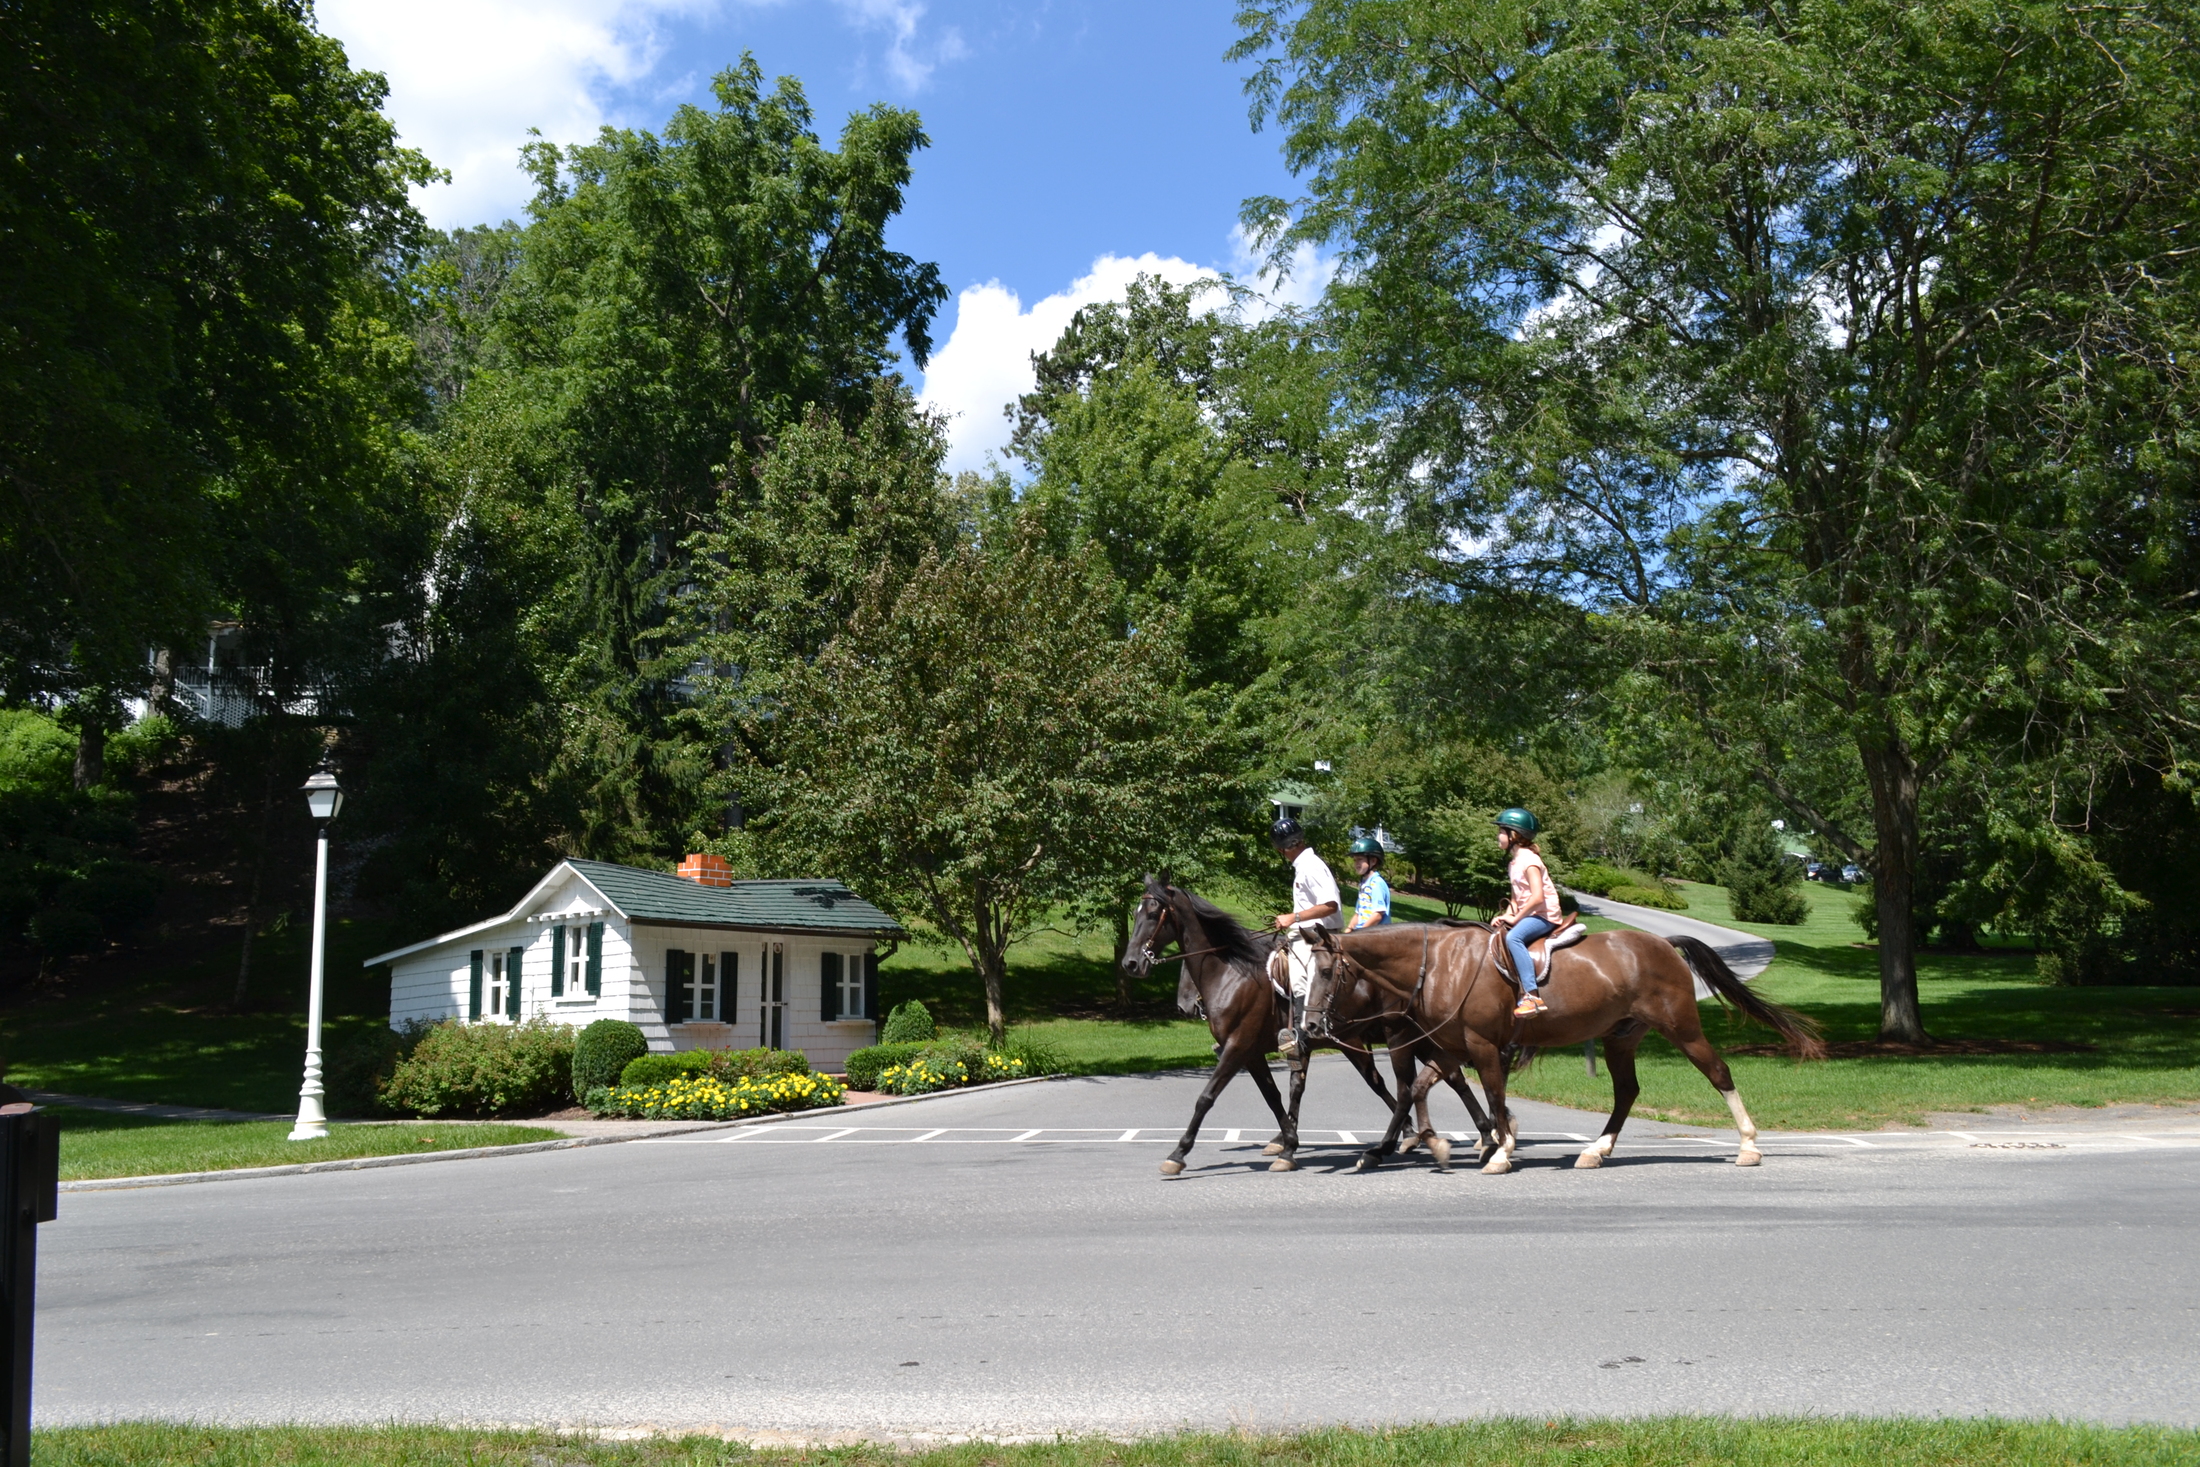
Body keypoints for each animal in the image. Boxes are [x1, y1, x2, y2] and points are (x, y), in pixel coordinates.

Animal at [1117, 879, 1496, 1178]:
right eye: (1135, 913)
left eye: (1152, 913)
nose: (1131, 963)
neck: (1233, 972)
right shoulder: (1253, 1052)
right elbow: (1275, 1096)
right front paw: (1286, 1145)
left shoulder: (1238, 1046)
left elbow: (1206, 1097)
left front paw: (1178, 1153)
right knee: (1437, 1079)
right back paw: (1463, 1135)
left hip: (1401, 1037)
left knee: (1426, 1083)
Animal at [1302, 923, 1821, 1178]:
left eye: (1327, 972)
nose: (1308, 1026)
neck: (1441, 964)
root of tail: (1662, 943)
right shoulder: (1450, 1049)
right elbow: (1420, 1089)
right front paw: (1438, 1143)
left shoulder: (1482, 1047)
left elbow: (1489, 1095)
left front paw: (1499, 1151)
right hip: (1620, 1037)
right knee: (1627, 1092)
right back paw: (1596, 1150)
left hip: (1682, 1028)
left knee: (1719, 1072)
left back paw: (1749, 1146)